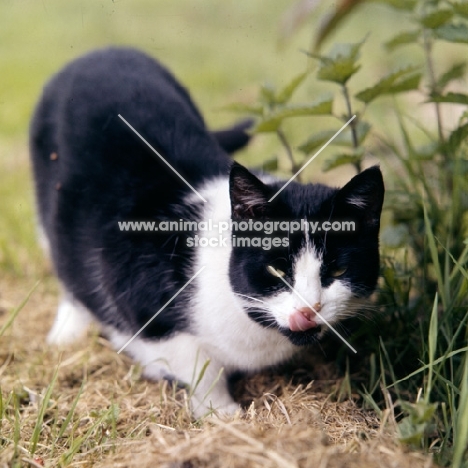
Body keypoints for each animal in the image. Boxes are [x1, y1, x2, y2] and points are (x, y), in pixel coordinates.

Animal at [31, 48, 386, 416]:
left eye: (338, 270)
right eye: (276, 269)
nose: (308, 310)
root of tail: (101, 51)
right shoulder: (141, 292)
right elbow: (197, 364)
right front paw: (222, 413)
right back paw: (67, 332)